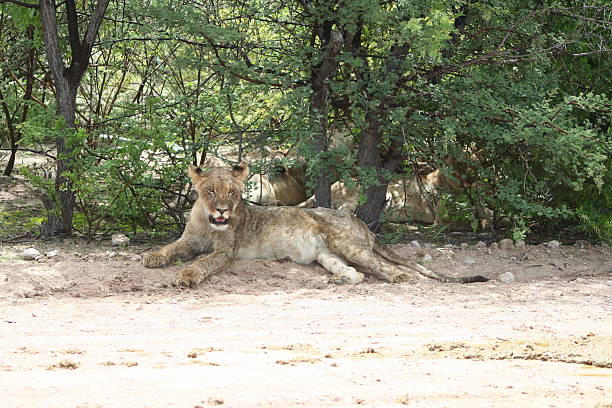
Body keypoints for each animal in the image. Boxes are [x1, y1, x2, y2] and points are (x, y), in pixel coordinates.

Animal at [143, 163, 488, 286]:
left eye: (232, 192)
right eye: (211, 191)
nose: (223, 210)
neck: (207, 221)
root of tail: (358, 220)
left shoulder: (226, 252)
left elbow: (201, 263)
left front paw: (187, 276)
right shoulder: (188, 241)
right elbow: (170, 247)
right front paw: (152, 257)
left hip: (345, 243)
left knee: (385, 267)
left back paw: (398, 278)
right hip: (326, 255)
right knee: (357, 273)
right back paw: (341, 280)